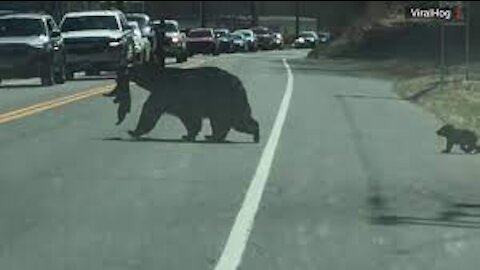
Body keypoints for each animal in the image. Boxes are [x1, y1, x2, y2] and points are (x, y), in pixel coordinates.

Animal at [124, 64, 258, 142]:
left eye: (132, 68)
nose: (125, 69)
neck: (156, 79)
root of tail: (239, 82)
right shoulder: (183, 103)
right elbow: (190, 119)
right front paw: (189, 135)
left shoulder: (166, 92)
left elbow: (150, 110)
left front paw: (134, 131)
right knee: (234, 119)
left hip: (224, 100)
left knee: (235, 121)